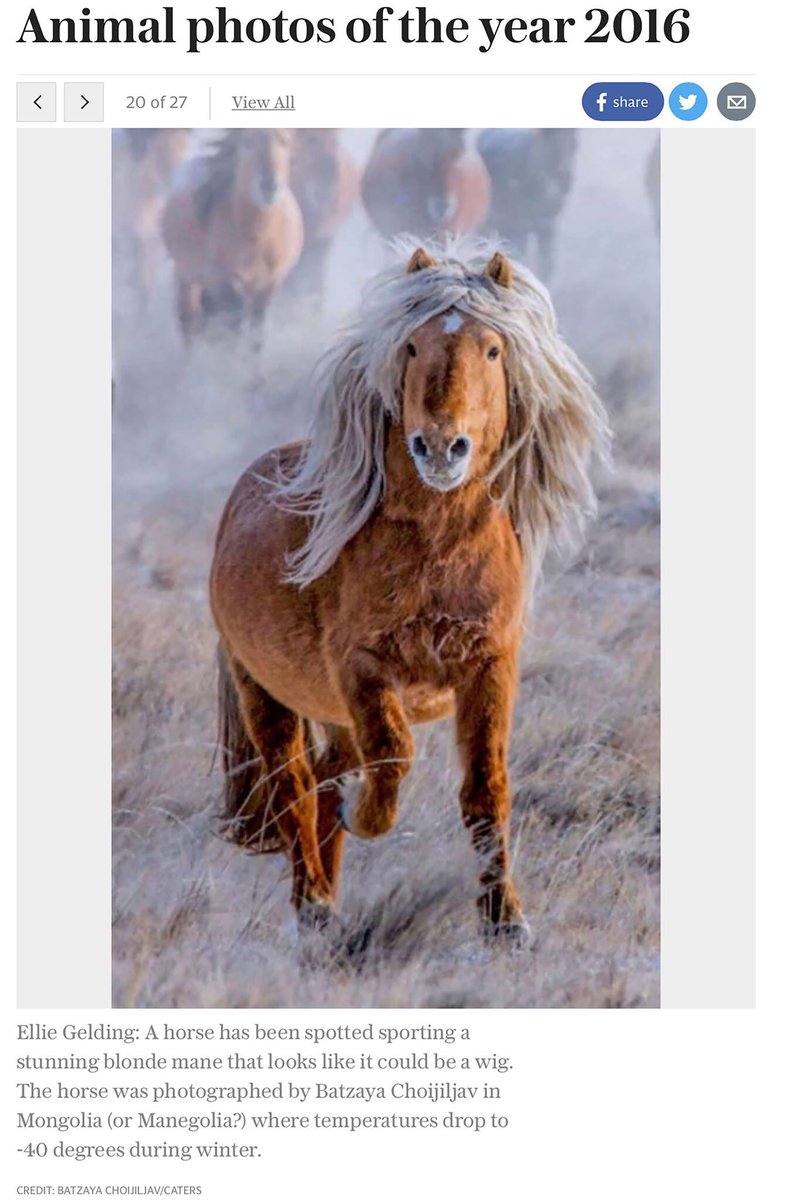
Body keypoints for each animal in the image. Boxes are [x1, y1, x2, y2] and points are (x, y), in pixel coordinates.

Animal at [161, 130, 304, 343]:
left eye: (284, 141)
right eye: (248, 142)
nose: (269, 186)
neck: (256, 238)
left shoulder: (269, 286)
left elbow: (256, 336)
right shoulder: (225, 284)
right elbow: (231, 331)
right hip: (187, 277)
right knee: (190, 321)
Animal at [210, 241, 609, 944]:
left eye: (492, 350)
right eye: (413, 345)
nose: (442, 447)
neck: (436, 549)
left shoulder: (489, 666)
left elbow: (486, 789)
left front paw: (505, 922)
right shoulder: (363, 669)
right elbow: (394, 756)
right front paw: (365, 817)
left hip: (331, 711)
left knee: (325, 778)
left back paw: (329, 897)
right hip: (264, 692)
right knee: (294, 784)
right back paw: (313, 905)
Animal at [477, 129, 578, 280]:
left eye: (574, 141)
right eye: (548, 139)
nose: (565, 175)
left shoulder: (547, 226)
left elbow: (548, 264)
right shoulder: (521, 226)